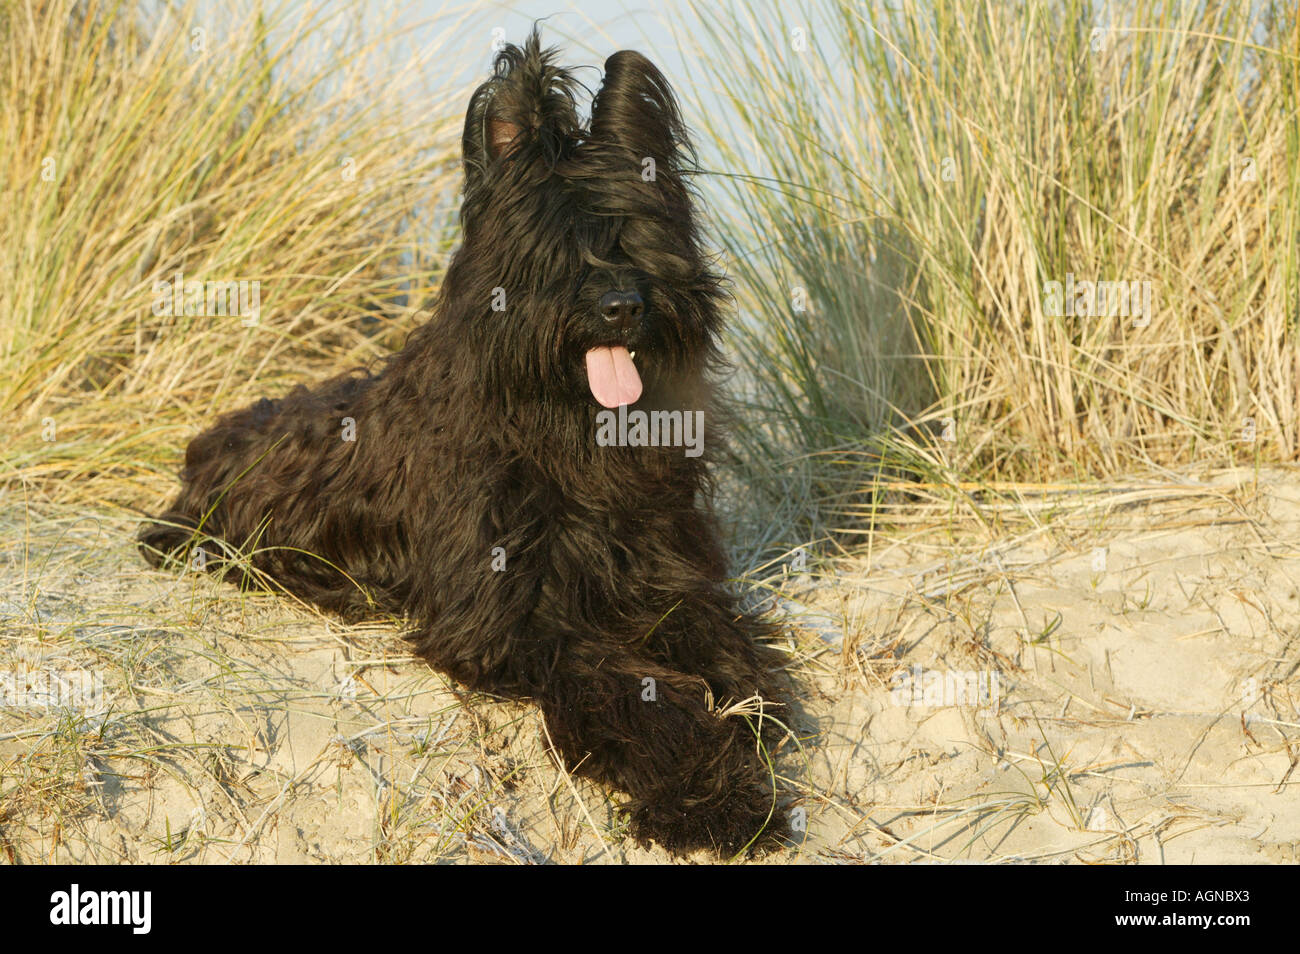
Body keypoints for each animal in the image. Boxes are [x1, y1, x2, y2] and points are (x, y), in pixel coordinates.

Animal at [143, 33, 790, 857]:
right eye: (554, 247)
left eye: (637, 235)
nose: (622, 305)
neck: (560, 429)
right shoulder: (510, 624)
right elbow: (628, 685)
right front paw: (711, 797)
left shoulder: (668, 575)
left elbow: (728, 643)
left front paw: (746, 704)